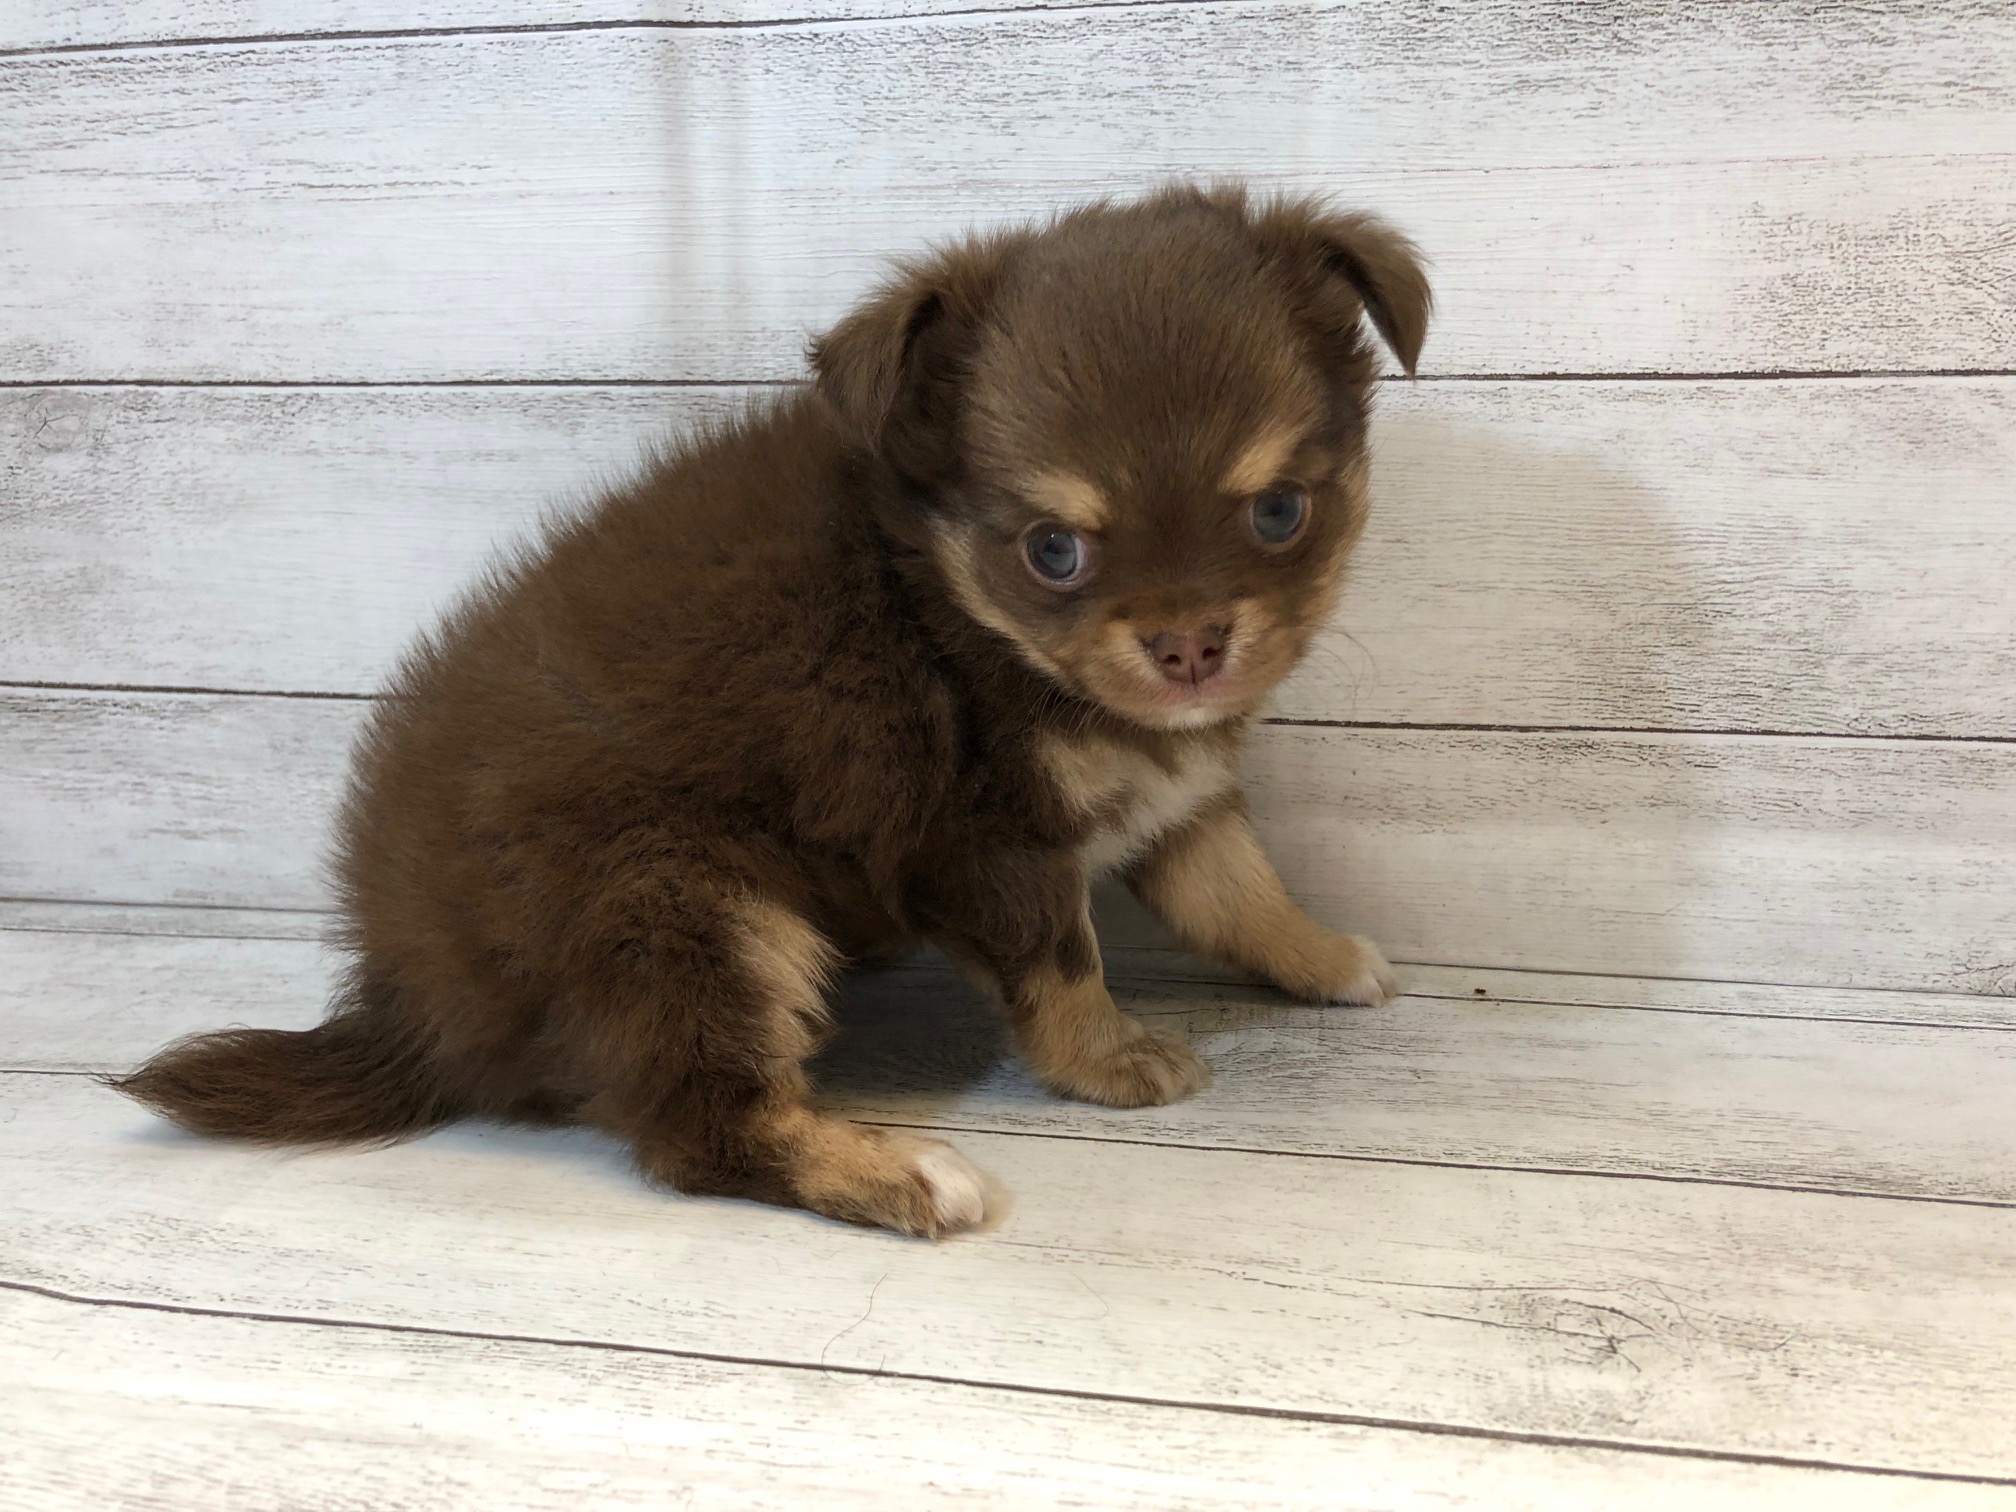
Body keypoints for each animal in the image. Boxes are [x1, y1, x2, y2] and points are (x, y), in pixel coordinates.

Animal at [114, 183, 1435, 1233]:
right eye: (1053, 550)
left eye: (1280, 512)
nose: (1190, 645)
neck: (945, 599)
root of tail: (414, 1005)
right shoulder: (983, 842)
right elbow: (1063, 961)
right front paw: (1110, 1059)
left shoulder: (1169, 794)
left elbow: (1238, 890)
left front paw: (1327, 958)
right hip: (681, 911)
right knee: (701, 1134)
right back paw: (900, 1174)